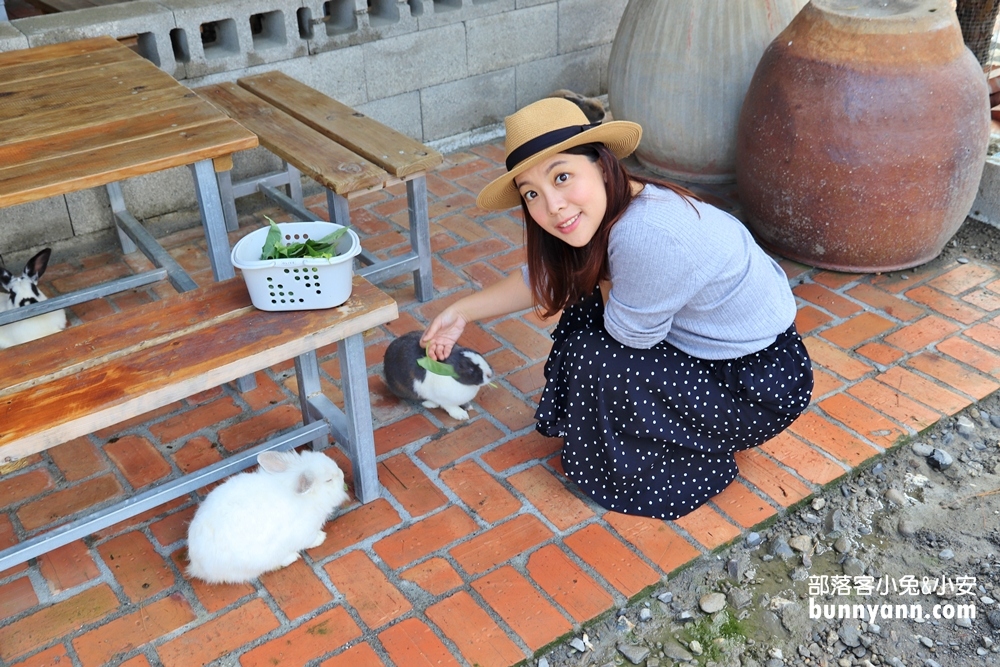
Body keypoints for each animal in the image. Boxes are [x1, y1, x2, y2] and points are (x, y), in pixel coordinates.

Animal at [188, 448, 352, 584]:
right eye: (328, 480)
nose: (342, 474)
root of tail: (198, 566)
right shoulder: (305, 532)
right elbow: (310, 540)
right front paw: (321, 538)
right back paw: (292, 557)